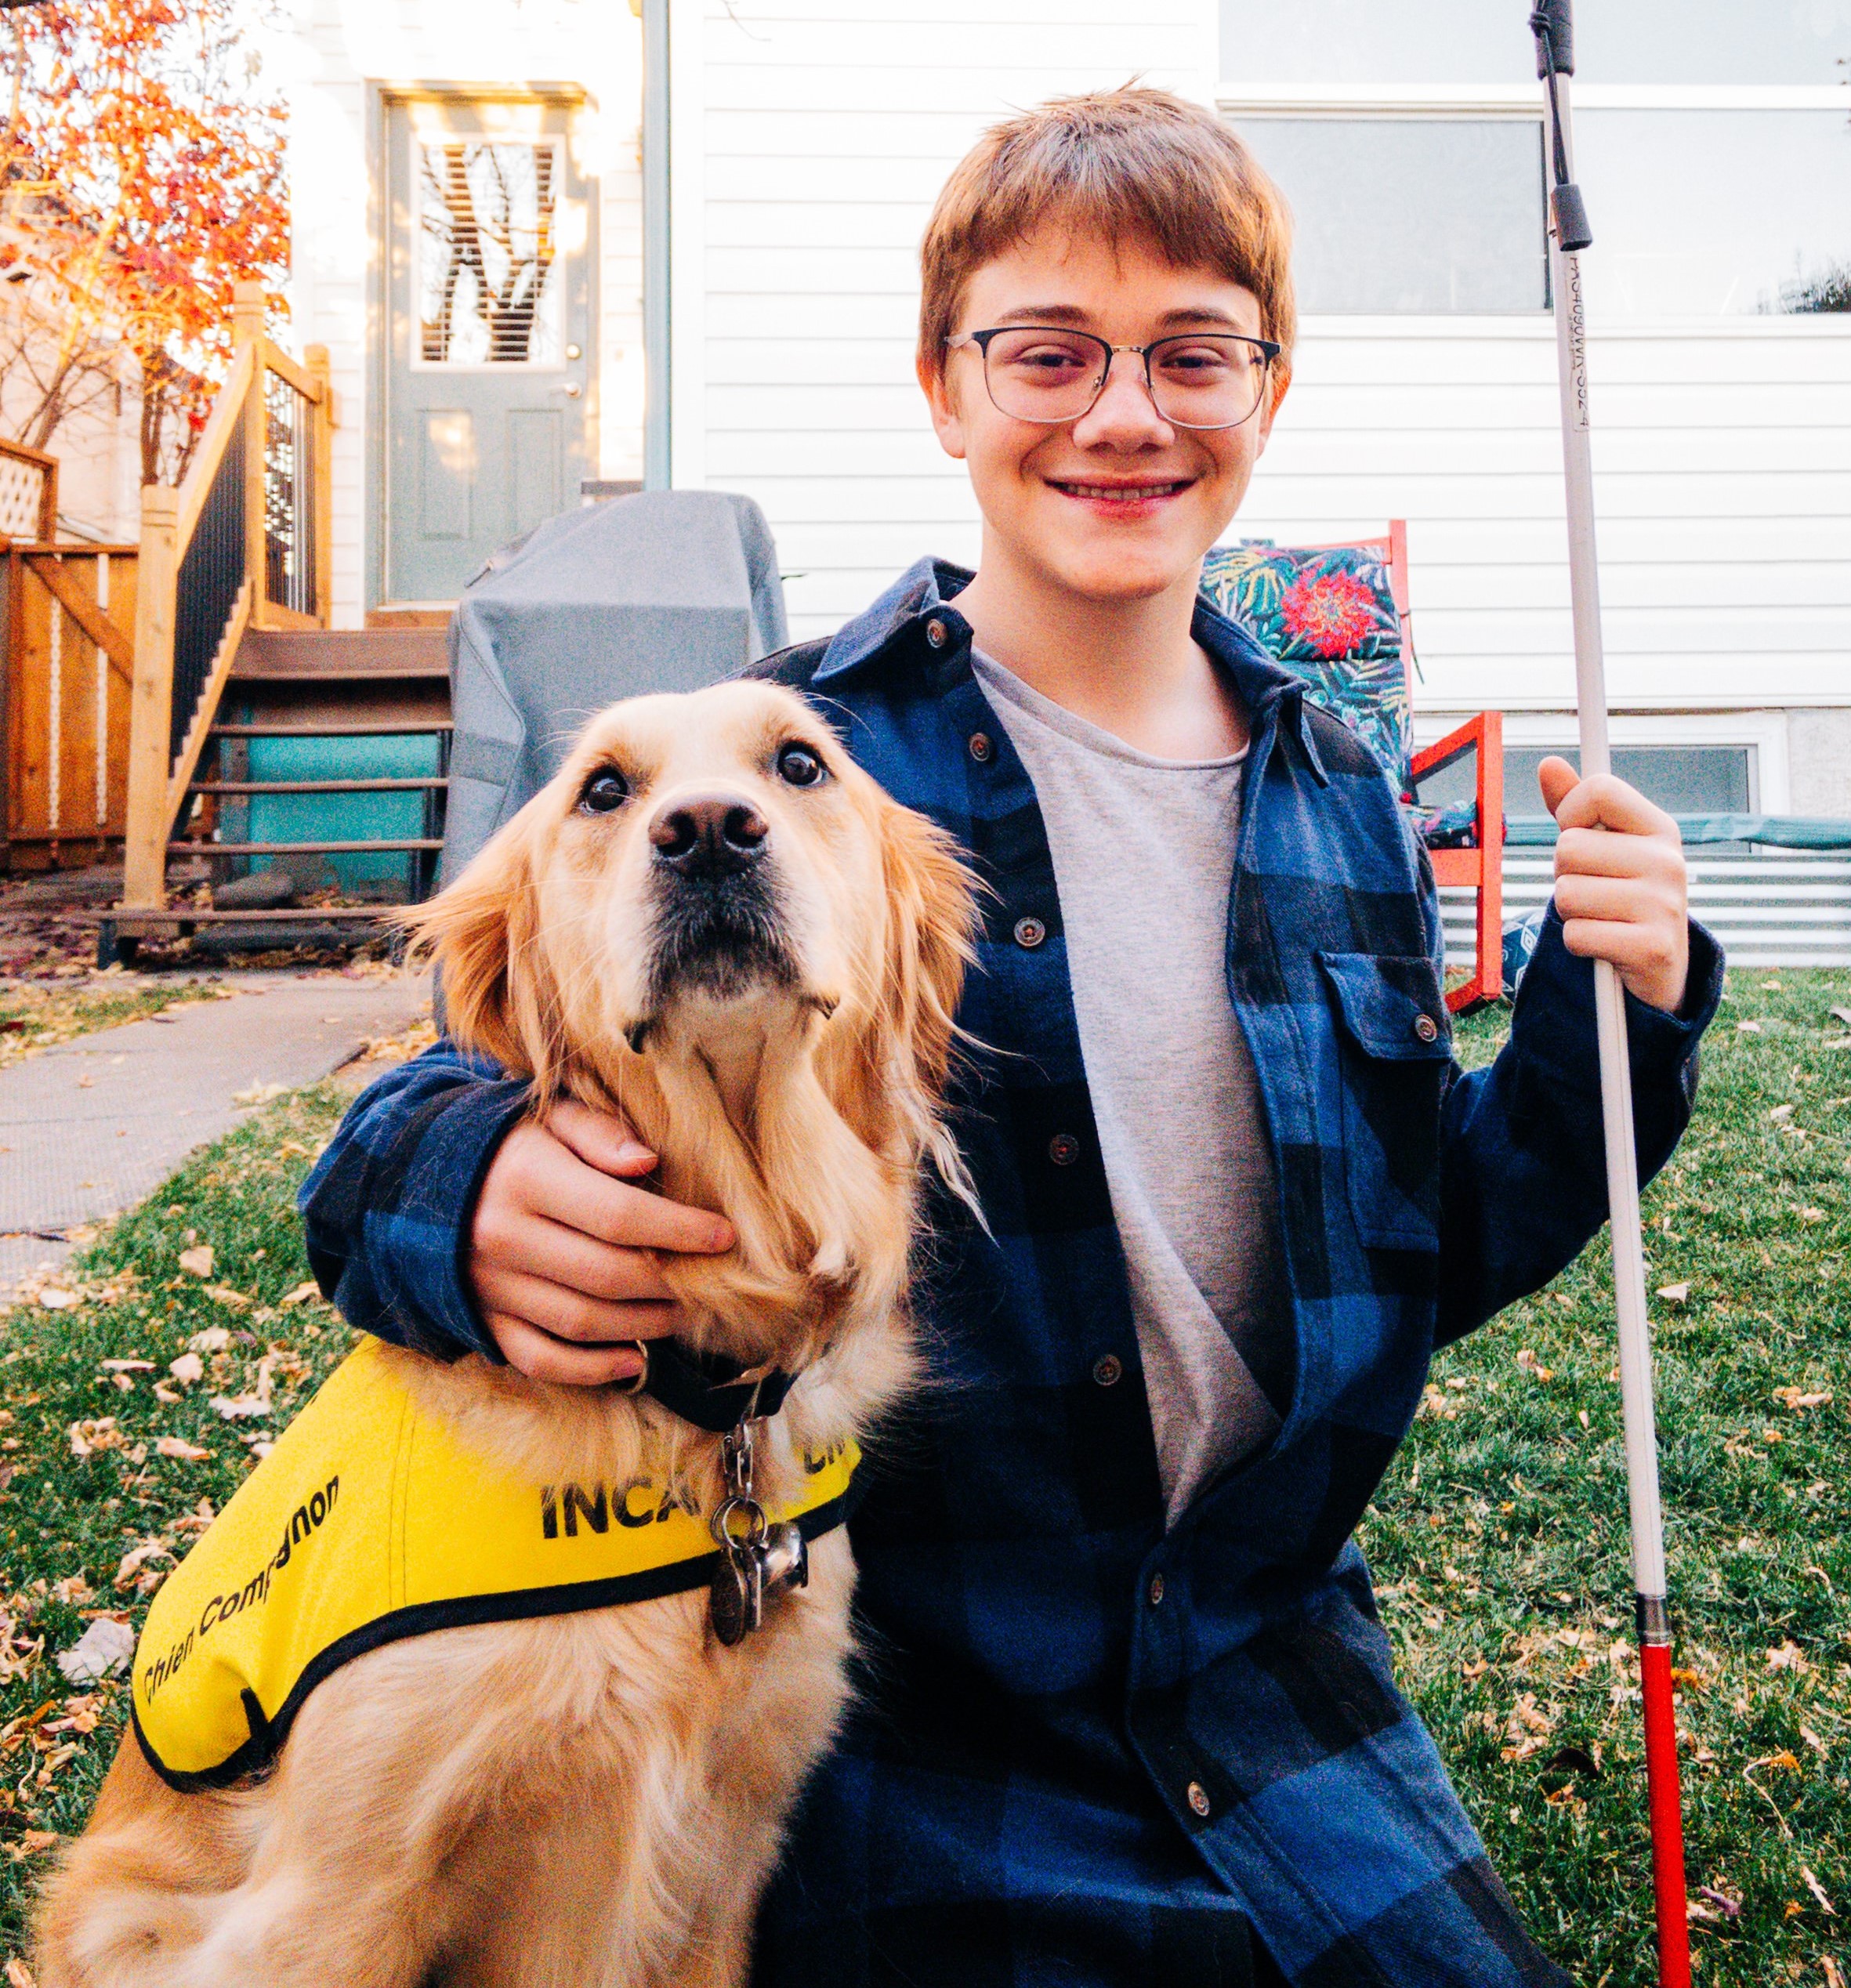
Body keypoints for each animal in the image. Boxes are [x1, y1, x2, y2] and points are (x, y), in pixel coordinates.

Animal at [36, 683, 978, 1988]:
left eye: (800, 765)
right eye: (603, 790)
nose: (708, 833)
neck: (686, 1393)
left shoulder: (731, 1852)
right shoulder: (335, 1894)